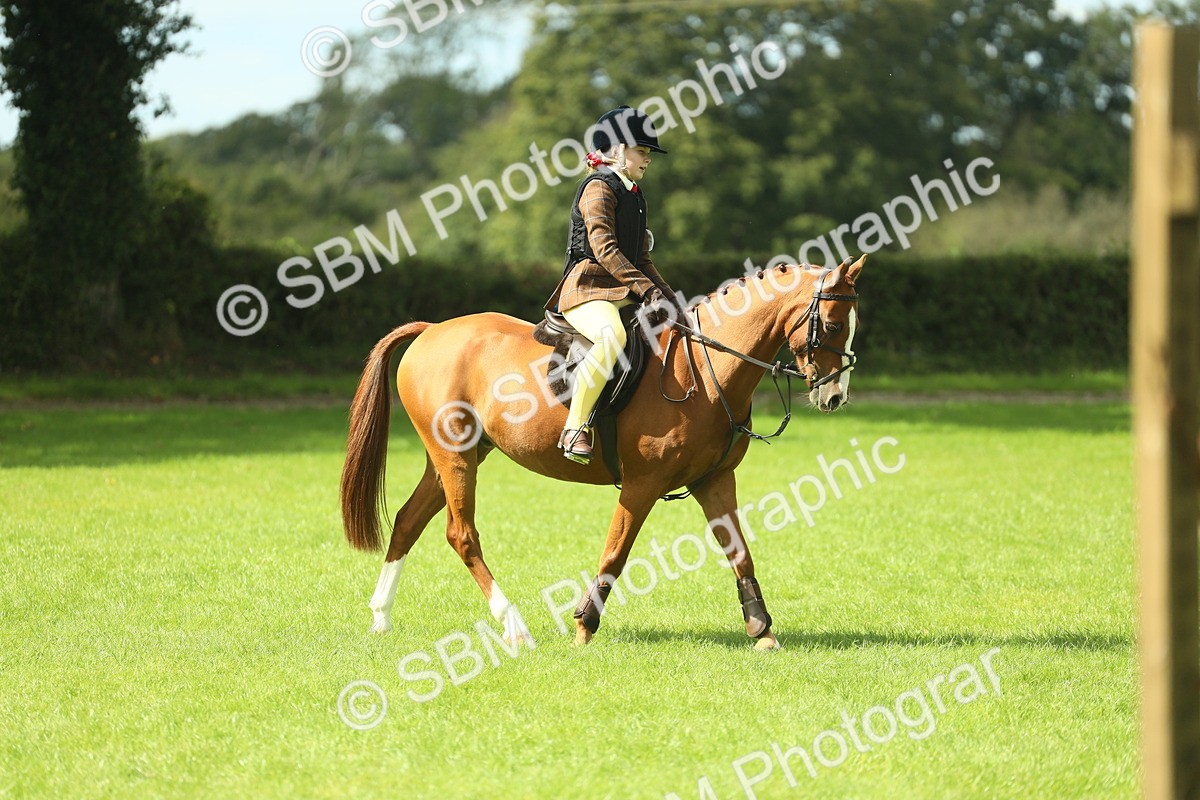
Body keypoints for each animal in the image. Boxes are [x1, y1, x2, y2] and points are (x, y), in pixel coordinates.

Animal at [339, 255, 865, 650]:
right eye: (833, 324)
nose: (835, 397)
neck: (704, 368)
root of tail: (431, 330)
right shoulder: (642, 484)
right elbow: (616, 552)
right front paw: (583, 627)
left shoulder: (714, 480)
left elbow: (740, 553)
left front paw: (762, 630)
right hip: (457, 459)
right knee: (461, 535)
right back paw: (514, 626)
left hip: (454, 456)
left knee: (408, 521)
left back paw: (381, 617)